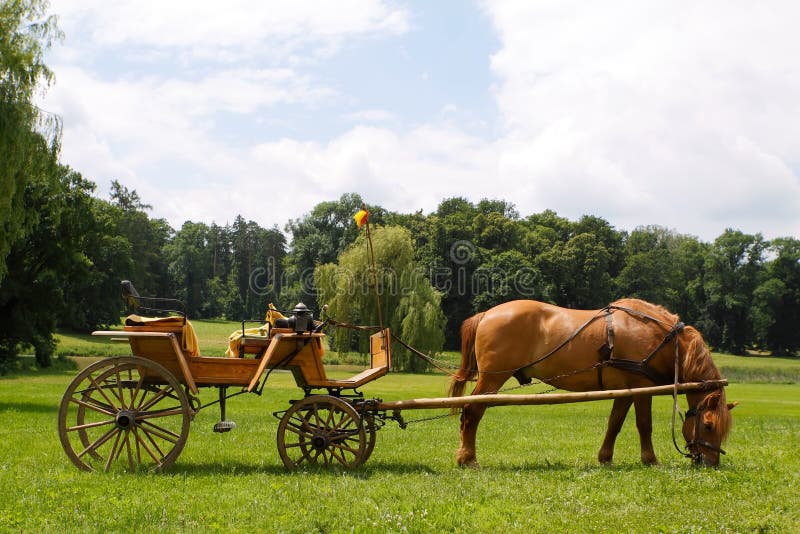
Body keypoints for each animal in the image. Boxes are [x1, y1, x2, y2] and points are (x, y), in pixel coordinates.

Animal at [449, 298, 736, 467]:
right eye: (709, 425)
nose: (711, 463)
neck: (665, 341)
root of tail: (487, 313)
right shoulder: (642, 387)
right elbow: (644, 425)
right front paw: (650, 459)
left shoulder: (625, 390)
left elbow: (615, 424)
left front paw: (605, 458)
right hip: (492, 378)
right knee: (471, 412)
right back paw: (467, 458)